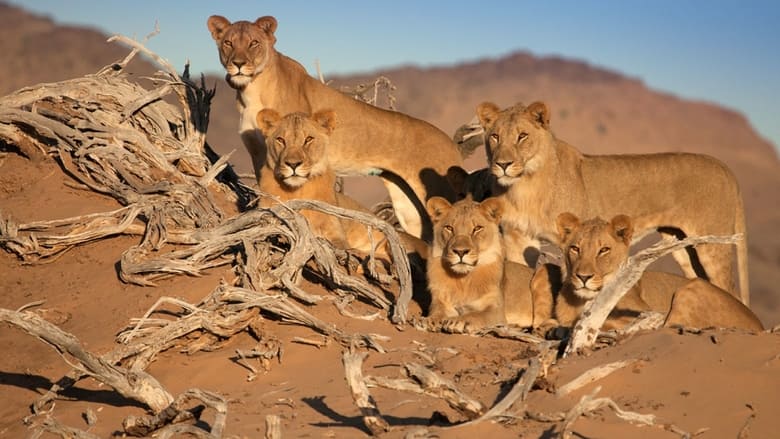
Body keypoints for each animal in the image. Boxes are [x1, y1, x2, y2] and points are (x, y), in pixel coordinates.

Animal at [207, 15, 463, 241]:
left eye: (254, 43)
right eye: (228, 43)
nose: (238, 64)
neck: (250, 89)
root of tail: (451, 143)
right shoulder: (259, 152)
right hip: (407, 205)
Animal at [425, 196, 553, 332]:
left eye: (477, 228)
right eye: (449, 228)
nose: (460, 251)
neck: (463, 280)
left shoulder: (496, 310)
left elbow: (476, 314)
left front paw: (458, 321)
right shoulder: (440, 301)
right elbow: (437, 311)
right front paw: (431, 320)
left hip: (543, 269)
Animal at [475, 100, 749, 305]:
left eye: (522, 136)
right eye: (495, 137)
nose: (502, 164)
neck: (524, 186)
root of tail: (725, 167)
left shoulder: (571, 240)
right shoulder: (517, 237)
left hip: (712, 245)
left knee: (730, 289)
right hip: (683, 246)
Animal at [549, 212, 763, 331]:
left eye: (604, 250)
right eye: (575, 248)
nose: (583, 277)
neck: (581, 301)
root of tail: (760, 326)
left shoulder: (641, 312)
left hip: (691, 289)